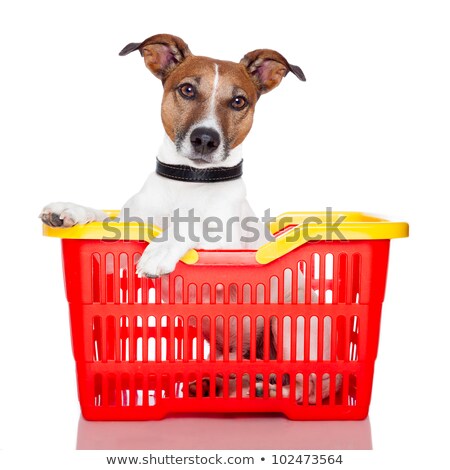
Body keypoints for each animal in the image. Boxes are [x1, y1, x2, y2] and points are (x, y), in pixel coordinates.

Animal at [42, 35, 338, 404]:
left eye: (238, 101)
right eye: (186, 90)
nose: (205, 139)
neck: (190, 180)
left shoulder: (230, 256)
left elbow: (195, 226)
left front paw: (160, 250)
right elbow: (107, 219)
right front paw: (70, 210)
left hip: (292, 323)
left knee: (303, 386)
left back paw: (260, 389)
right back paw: (223, 384)